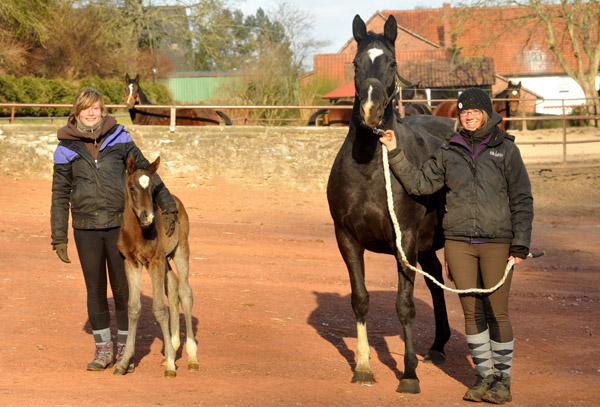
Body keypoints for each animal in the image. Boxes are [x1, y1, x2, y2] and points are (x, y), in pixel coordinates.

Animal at [116, 155, 200, 376]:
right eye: (132, 186)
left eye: (153, 187)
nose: (149, 216)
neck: (138, 233)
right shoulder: (131, 263)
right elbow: (133, 308)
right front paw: (124, 362)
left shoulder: (154, 262)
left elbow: (160, 309)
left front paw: (171, 363)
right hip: (165, 261)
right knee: (172, 287)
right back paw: (173, 345)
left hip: (180, 251)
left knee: (185, 292)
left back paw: (191, 357)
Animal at [326, 15, 452, 396]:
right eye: (355, 64)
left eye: (392, 63)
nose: (370, 110)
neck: (370, 168)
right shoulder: (347, 240)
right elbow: (360, 299)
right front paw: (364, 367)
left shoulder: (404, 240)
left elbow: (404, 305)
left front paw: (409, 374)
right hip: (426, 246)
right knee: (435, 282)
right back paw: (437, 347)